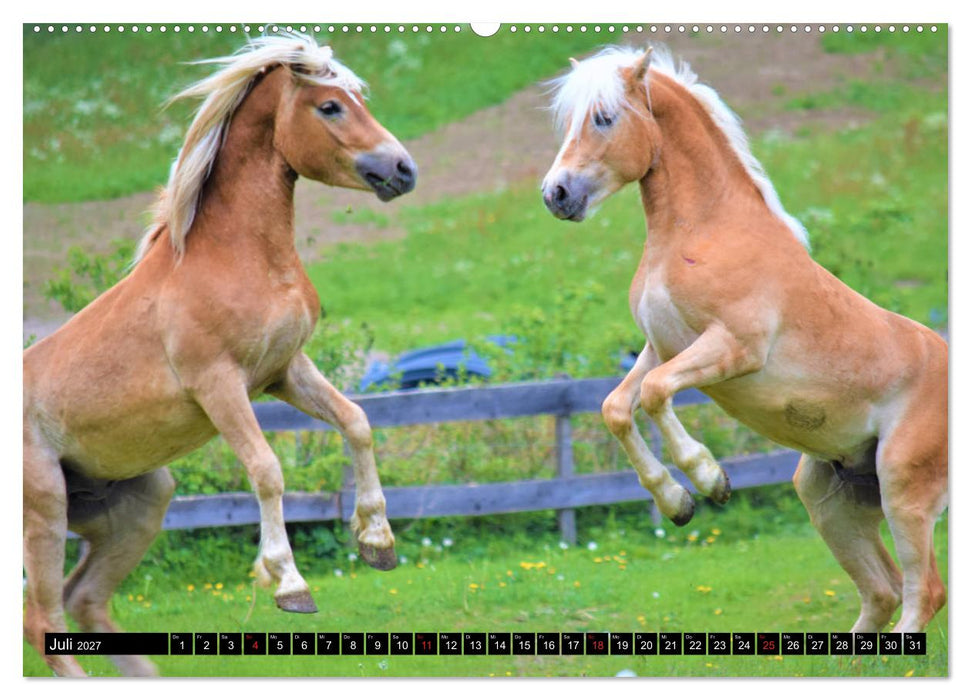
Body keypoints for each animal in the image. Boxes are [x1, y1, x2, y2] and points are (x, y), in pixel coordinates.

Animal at [23, 34, 417, 676]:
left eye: (357, 98)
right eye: (330, 106)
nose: (404, 169)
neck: (235, 257)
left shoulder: (285, 371)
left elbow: (357, 422)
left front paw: (377, 543)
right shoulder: (218, 386)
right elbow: (267, 470)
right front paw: (289, 585)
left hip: (141, 503)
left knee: (84, 603)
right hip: (45, 509)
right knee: (44, 622)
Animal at [541, 46, 947, 634]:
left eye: (604, 118)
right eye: (570, 119)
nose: (557, 194)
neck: (703, 232)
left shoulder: (733, 348)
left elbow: (656, 394)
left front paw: (711, 481)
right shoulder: (660, 346)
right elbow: (617, 407)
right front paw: (677, 504)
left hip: (904, 490)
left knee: (923, 592)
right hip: (829, 498)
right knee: (883, 590)